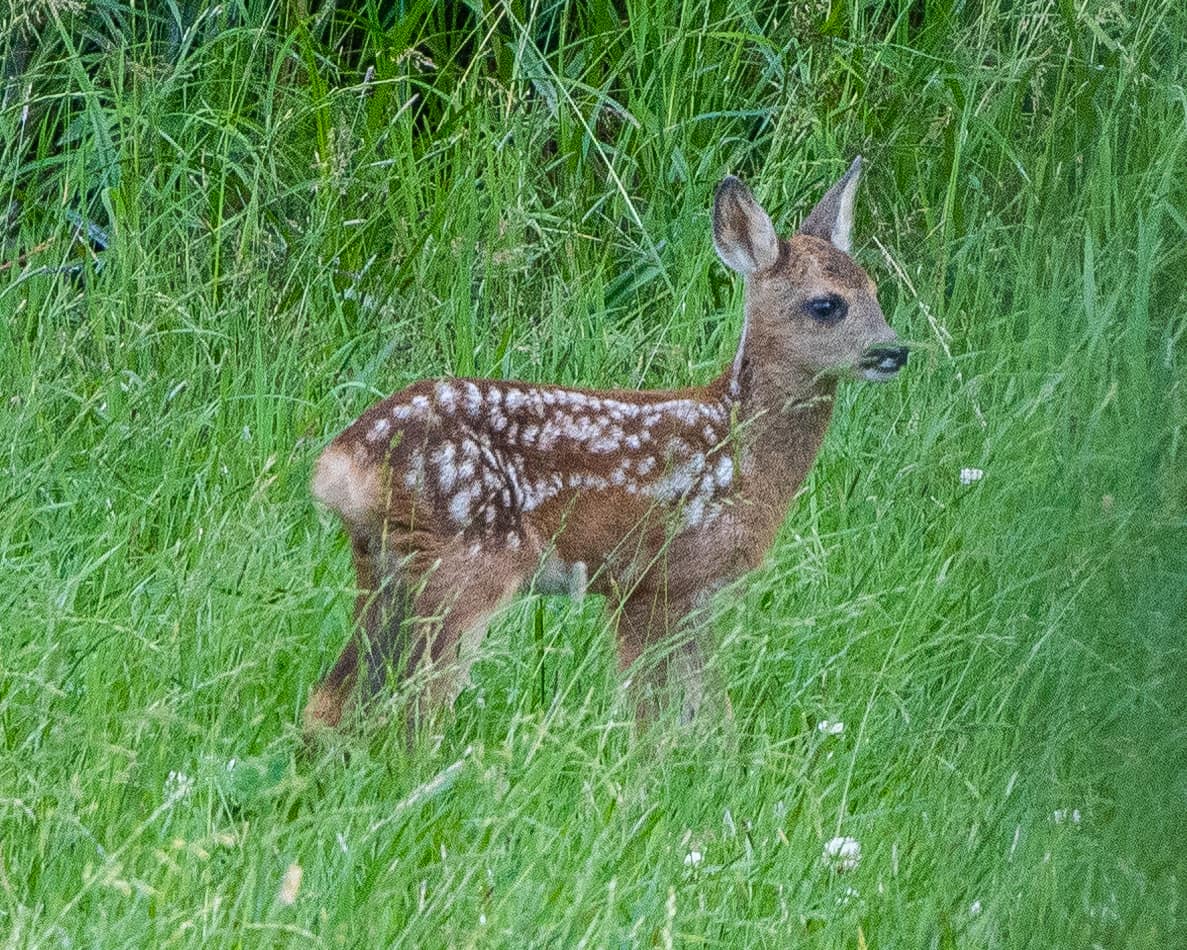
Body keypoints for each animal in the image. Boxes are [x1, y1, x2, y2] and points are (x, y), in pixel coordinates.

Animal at [303, 157, 907, 735]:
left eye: (876, 291)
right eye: (826, 305)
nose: (894, 351)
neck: (738, 453)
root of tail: (344, 459)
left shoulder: (695, 594)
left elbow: (710, 712)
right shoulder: (651, 577)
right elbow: (652, 718)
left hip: (385, 565)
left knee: (333, 699)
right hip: (464, 560)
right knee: (416, 705)